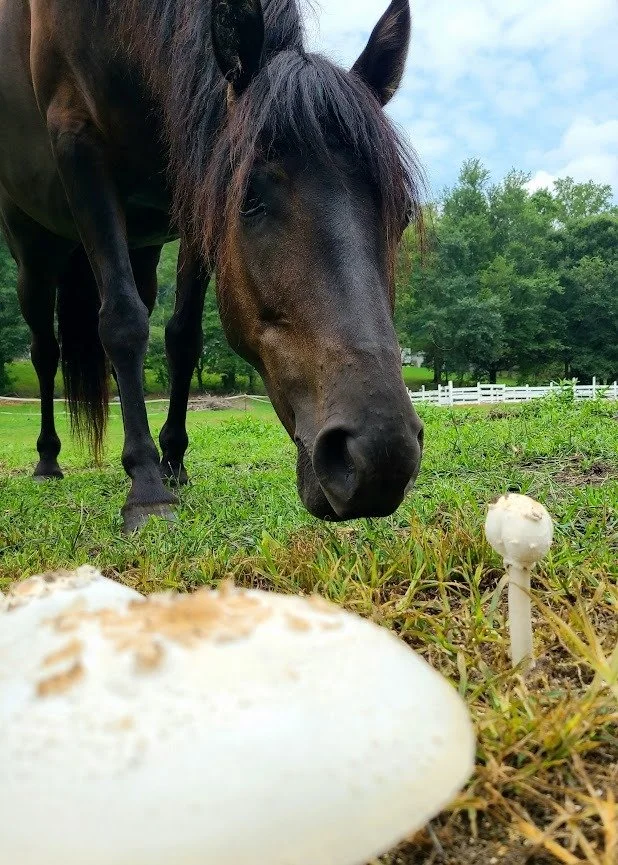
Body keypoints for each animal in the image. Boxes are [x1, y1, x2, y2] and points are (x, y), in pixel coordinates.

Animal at [0, 0, 425, 532]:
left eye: (403, 213)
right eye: (248, 200)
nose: (381, 456)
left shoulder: (193, 192)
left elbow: (182, 338)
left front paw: (173, 462)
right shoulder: (78, 147)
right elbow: (121, 324)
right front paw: (147, 490)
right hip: (32, 254)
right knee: (45, 350)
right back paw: (48, 459)